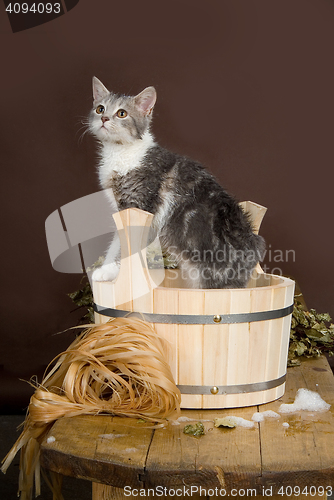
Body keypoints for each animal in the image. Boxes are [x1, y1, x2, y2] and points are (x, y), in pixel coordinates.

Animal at [89, 78, 266, 290]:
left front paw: (109, 272)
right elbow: (117, 241)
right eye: (100, 108)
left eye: (121, 113)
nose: (104, 118)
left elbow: (123, 244)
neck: (121, 153)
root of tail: (253, 243)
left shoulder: (139, 205)